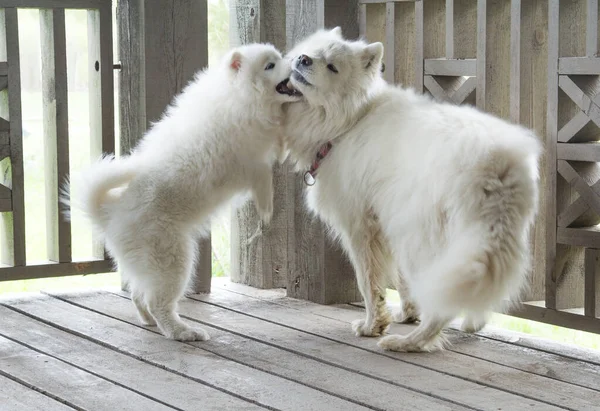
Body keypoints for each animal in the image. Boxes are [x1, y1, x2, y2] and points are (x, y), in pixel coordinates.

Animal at [67, 44, 300, 342]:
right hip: (172, 259)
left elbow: (277, 145)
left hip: (150, 264)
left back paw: (150, 321)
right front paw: (267, 207)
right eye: (270, 65)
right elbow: (263, 176)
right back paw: (183, 332)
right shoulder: (245, 160)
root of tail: (110, 215)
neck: (239, 95)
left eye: (279, 58)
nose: (297, 61)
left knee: (139, 295)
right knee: (158, 302)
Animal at [284, 27, 540, 352]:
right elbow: (403, 282)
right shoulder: (388, 224)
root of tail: (498, 162)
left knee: (441, 303)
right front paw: (407, 313)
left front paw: (372, 325)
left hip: (422, 238)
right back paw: (470, 322)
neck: (352, 120)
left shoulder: (360, 227)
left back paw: (407, 342)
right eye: (309, 52)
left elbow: (369, 283)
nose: (303, 59)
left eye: (331, 67)